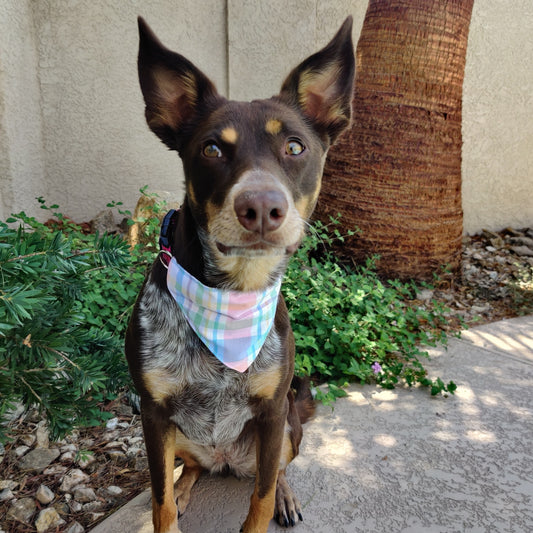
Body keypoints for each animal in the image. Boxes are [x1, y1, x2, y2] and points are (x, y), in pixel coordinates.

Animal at [125, 16, 354, 532]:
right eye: (211, 149)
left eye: (295, 146)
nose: (262, 207)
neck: (231, 297)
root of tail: (225, 460)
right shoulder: (154, 415)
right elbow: (160, 500)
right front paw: (169, 506)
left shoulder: (271, 412)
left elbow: (261, 497)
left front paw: (273, 501)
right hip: (182, 439)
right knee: (190, 468)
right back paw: (188, 486)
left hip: (286, 427)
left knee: (277, 470)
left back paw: (285, 492)